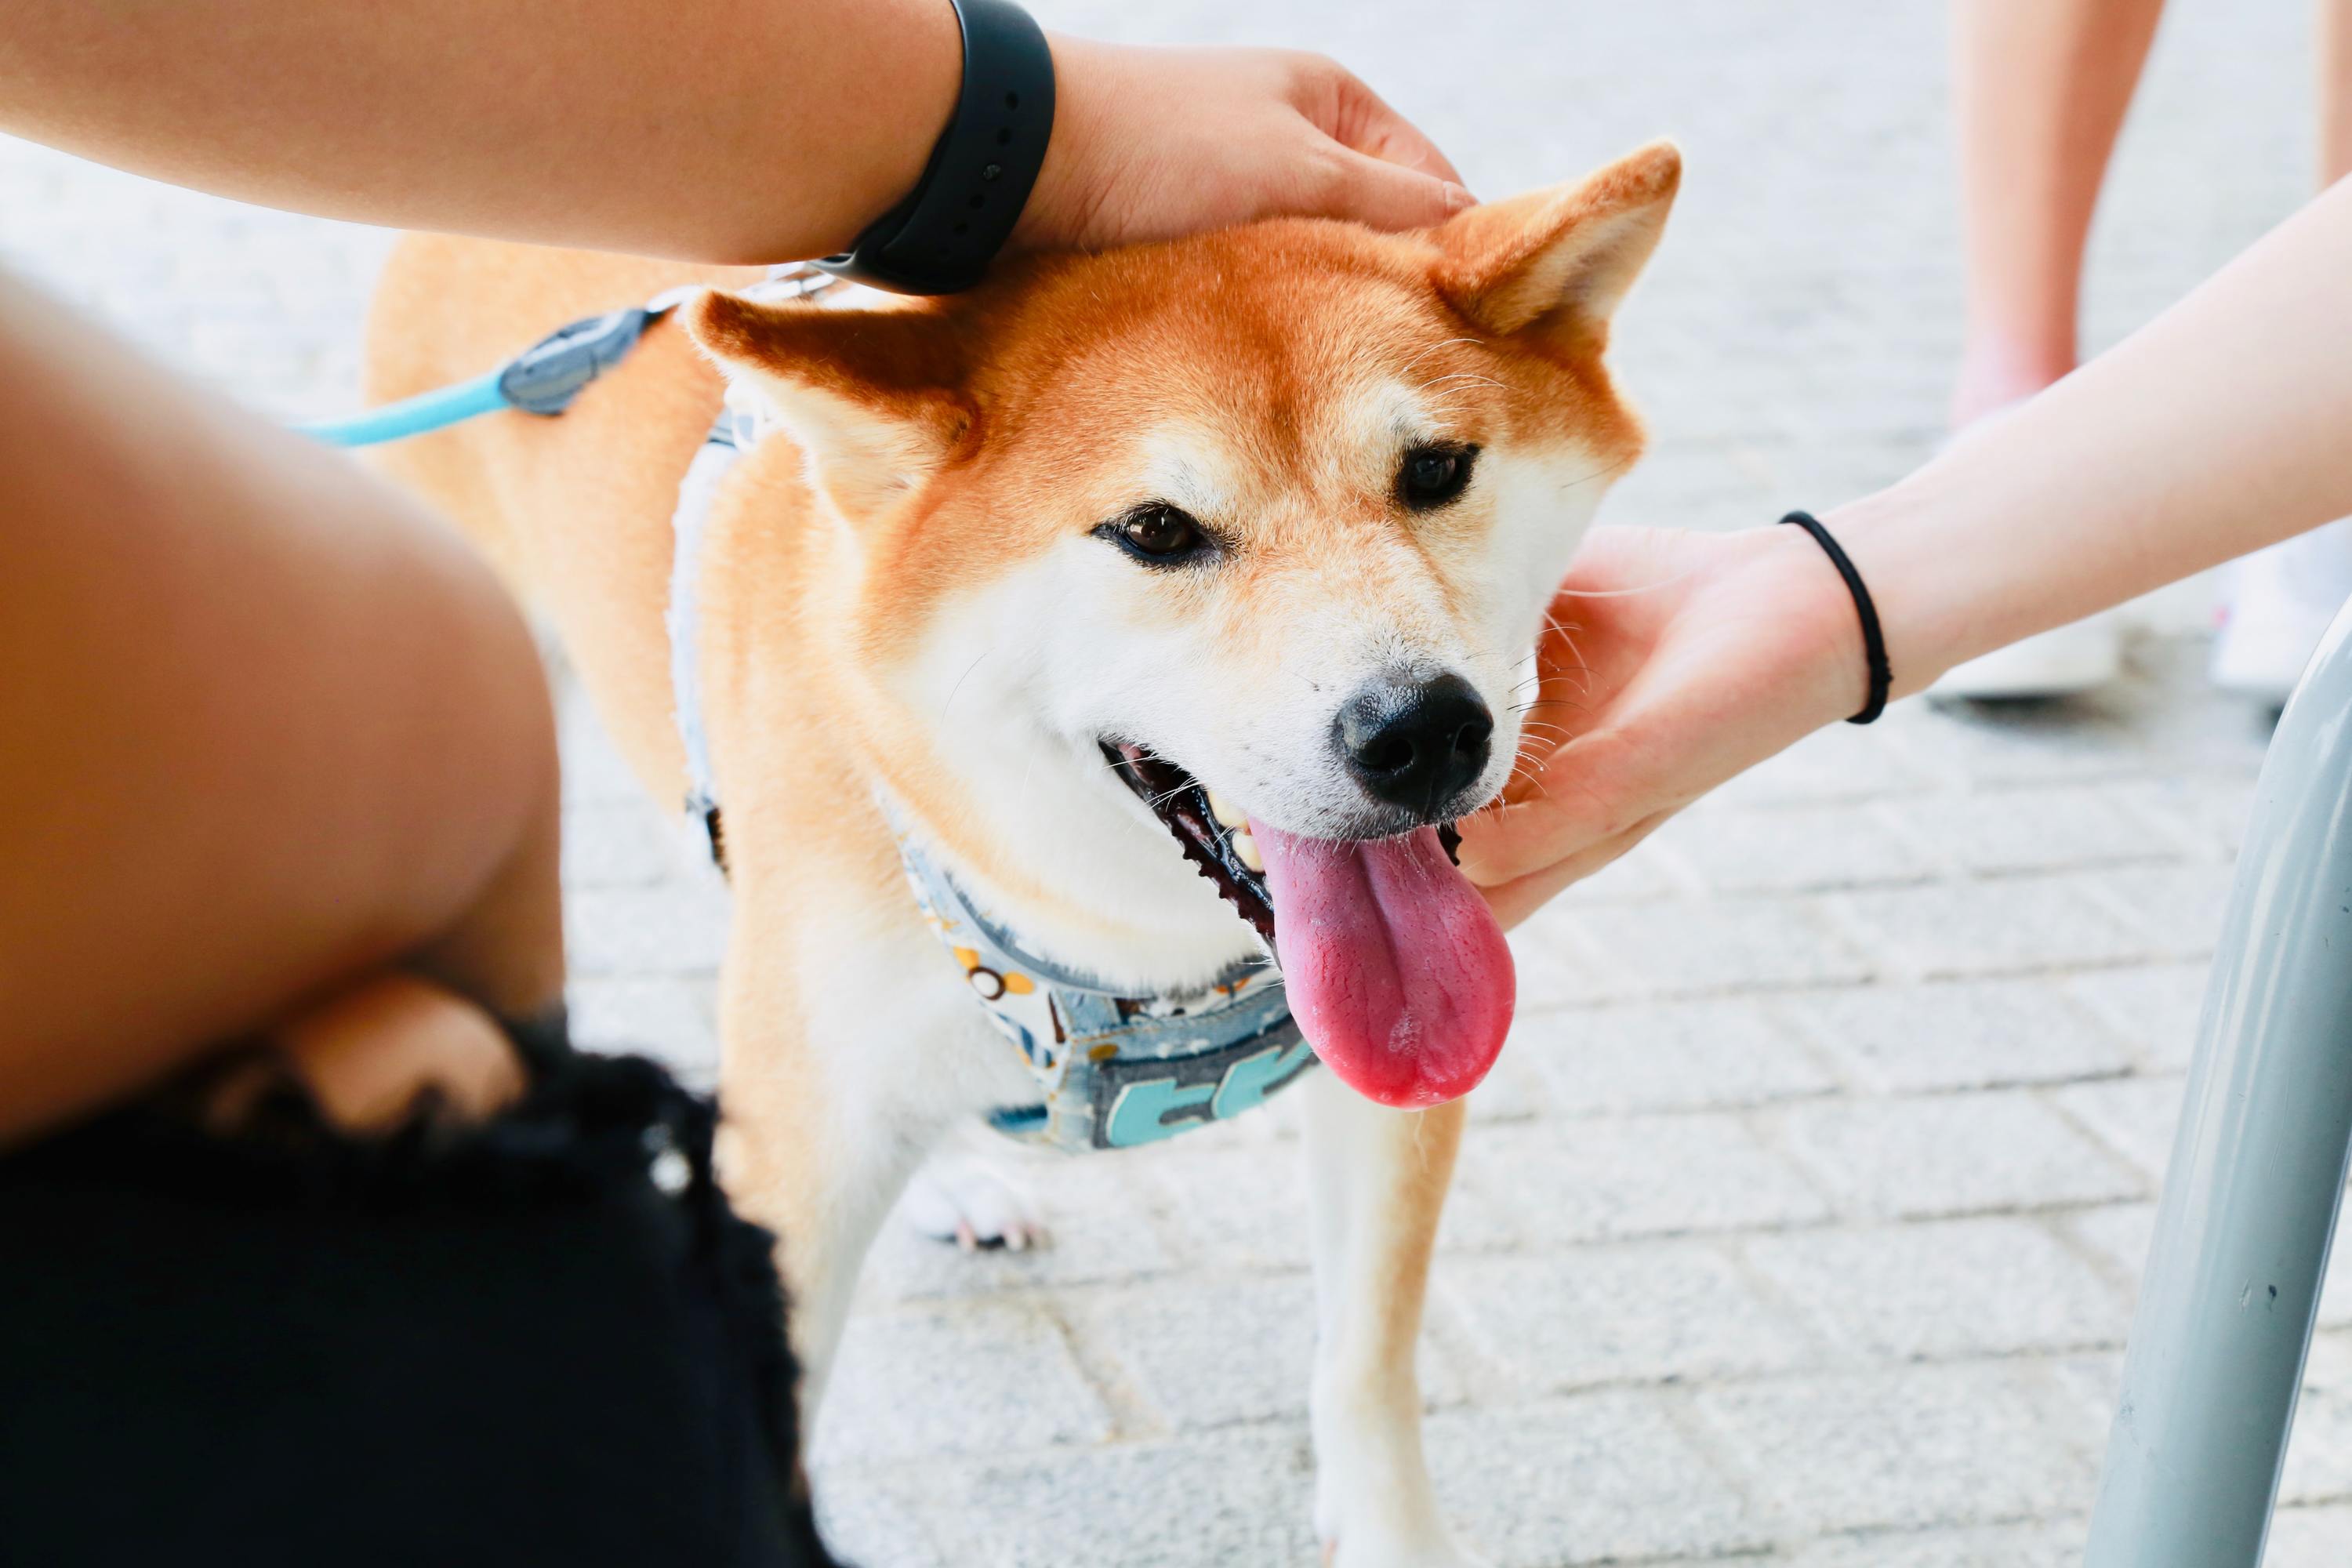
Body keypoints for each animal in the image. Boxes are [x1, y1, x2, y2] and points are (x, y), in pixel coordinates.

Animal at [362, 140, 1675, 1561]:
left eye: (1435, 471)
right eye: (1156, 532)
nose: (1423, 730)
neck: (1137, 956)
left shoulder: (1392, 1084)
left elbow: (1367, 1367)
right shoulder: (798, 1177)